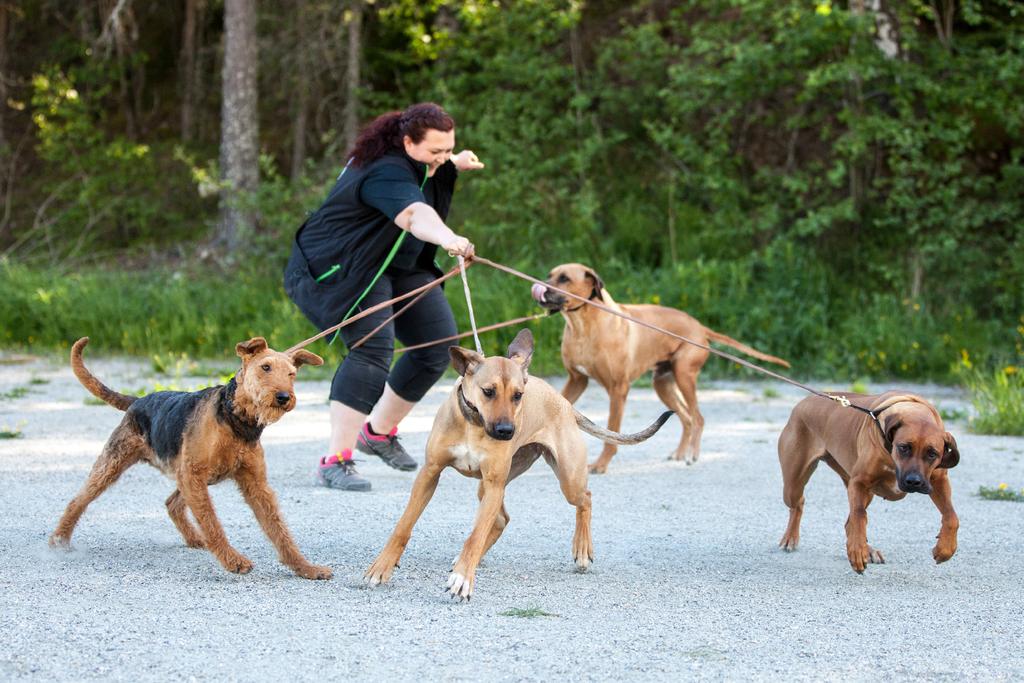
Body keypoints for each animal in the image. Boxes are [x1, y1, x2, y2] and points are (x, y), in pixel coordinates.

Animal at [49, 333, 329, 581]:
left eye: (292, 374)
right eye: (265, 367)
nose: (283, 397)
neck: (235, 419)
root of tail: (137, 401)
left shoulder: (254, 483)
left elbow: (279, 530)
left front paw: (307, 568)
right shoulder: (194, 473)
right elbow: (213, 524)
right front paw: (234, 561)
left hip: (187, 476)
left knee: (172, 503)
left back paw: (195, 538)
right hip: (116, 464)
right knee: (78, 500)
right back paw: (59, 539)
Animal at [366, 327, 671, 602]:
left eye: (518, 395)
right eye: (488, 392)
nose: (506, 431)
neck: (474, 425)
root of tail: (563, 402)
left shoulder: (494, 483)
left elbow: (475, 536)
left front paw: (463, 579)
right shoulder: (430, 474)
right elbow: (404, 526)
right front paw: (381, 567)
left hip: (564, 478)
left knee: (585, 498)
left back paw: (582, 550)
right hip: (489, 488)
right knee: (501, 520)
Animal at [536, 264, 790, 473]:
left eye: (564, 278)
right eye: (550, 275)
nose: (539, 288)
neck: (584, 325)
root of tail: (700, 327)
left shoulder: (618, 389)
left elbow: (611, 433)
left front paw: (601, 464)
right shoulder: (576, 380)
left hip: (684, 375)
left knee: (698, 418)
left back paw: (692, 455)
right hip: (663, 383)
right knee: (686, 418)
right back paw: (679, 453)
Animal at [778, 393, 962, 573]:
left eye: (932, 453)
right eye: (903, 447)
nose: (913, 482)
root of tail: (805, 400)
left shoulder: (939, 481)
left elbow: (951, 516)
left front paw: (945, 549)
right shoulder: (859, 483)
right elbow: (860, 515)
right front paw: (857, 551)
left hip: (863, 490)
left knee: (848, 523)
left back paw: (868, 550)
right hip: (793, 486)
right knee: (799, 503)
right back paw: (790, 538)